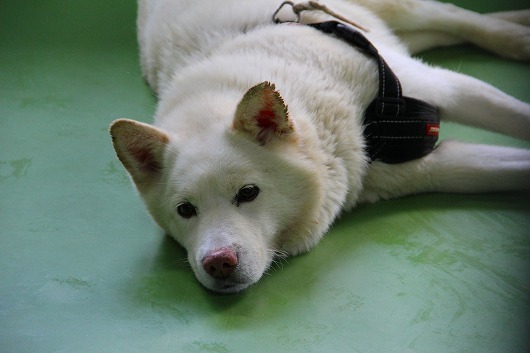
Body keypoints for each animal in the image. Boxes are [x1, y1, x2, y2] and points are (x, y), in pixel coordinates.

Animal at [109, 0, 528, 292]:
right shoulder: (422, 169)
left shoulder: (441, 87)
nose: (218, 263)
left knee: (454, 17)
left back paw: (515, 37)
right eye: (185, 210)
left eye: (248, 193)